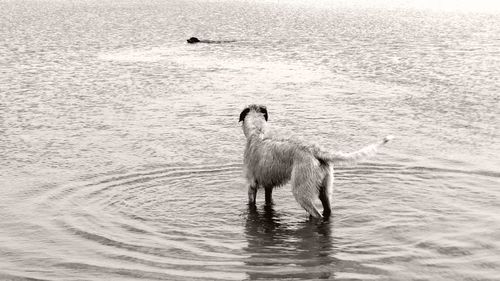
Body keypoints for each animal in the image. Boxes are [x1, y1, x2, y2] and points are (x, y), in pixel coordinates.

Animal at [239, 104, 394, 218]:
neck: (258, 132)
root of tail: (315, 150)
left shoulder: (252, 184)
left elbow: (251, 202)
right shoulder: (268, 185)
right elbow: (268, 200)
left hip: (302, 190)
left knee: (316, 214)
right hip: (324, 188)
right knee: (327, 210)